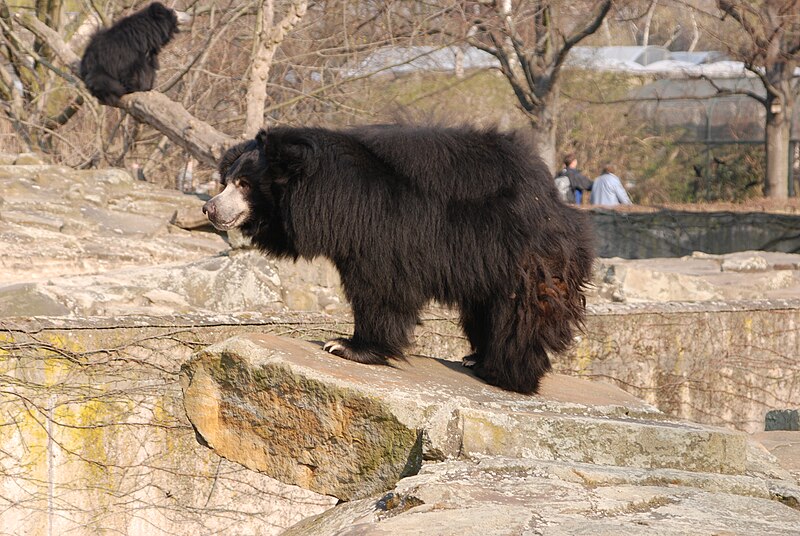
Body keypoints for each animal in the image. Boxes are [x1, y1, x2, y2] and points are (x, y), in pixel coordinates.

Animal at [205, 125, 592, 394]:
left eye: (243, 184)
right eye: (226, 181)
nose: (209, 208)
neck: (330, 196)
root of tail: (553, 202)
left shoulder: (381, 230)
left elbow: (381, 289)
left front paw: (345, 345)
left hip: (520, 257)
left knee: (519, 313)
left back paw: (506, 374)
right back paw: (477, 358)